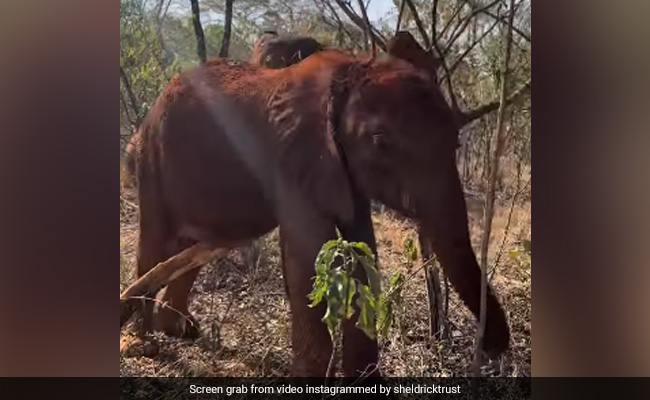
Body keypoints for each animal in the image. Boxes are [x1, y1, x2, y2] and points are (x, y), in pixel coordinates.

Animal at [122, 31, 510, 377]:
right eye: (380, 142)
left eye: (456, 144)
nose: (494, 349)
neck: (349, 68)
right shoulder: (292, 154)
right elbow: (307, 255)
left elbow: (362, 249)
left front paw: (363, 381)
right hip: (152, 158)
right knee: (154, 242)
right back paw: (141, 344)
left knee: (191, 247)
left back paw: (180, 329)